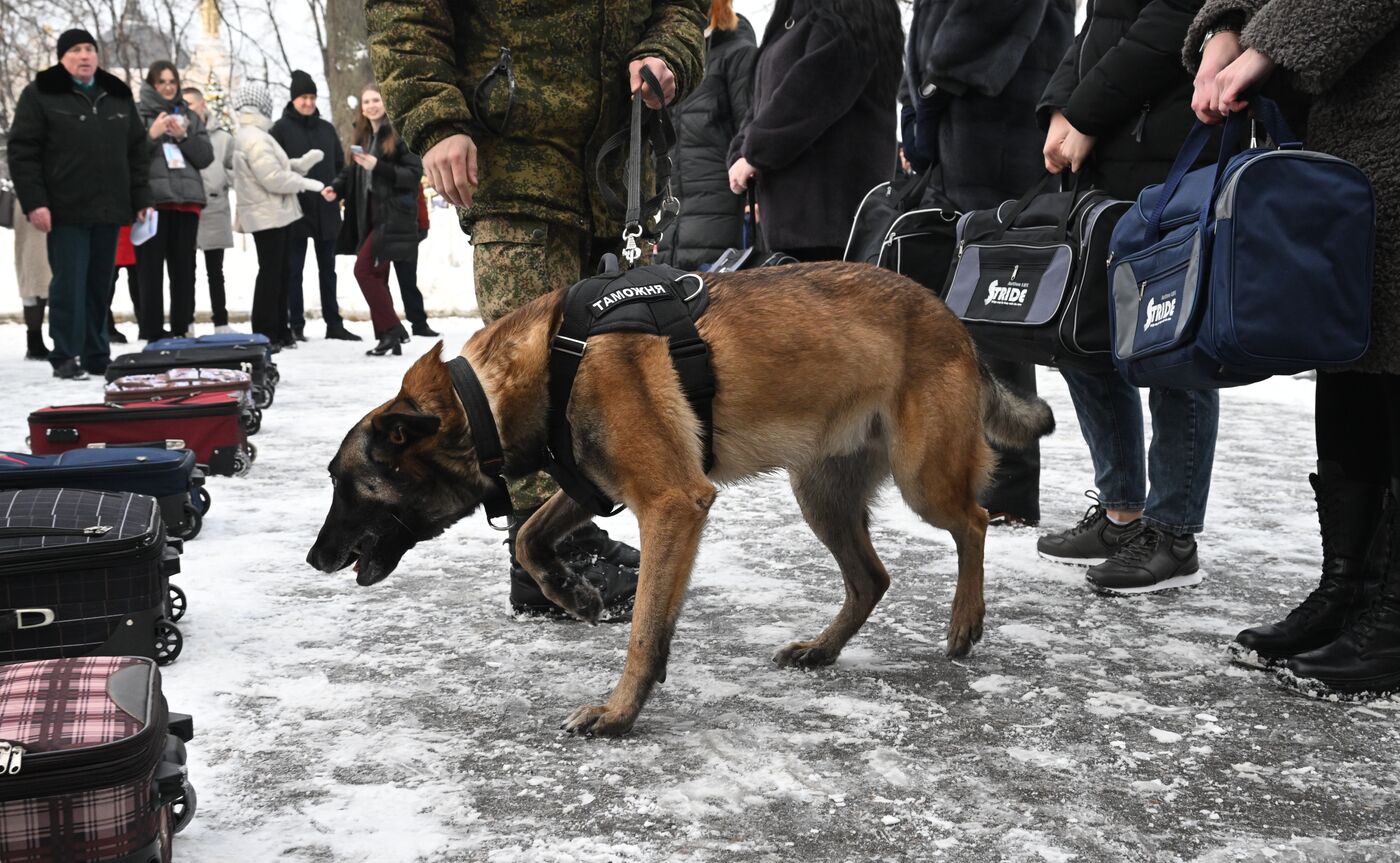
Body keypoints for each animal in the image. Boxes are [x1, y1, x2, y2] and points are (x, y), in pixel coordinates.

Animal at [306, 260, 1052, 734]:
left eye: (346, 483)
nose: (313, 560)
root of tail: (950, 317)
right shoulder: (594, 485)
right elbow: (531, 535)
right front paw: (574, 593)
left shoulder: (671, 503)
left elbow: (644, 626)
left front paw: (618, 712)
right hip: (820, 494)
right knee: (872, 577)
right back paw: (822, 648)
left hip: (924, 478)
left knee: (975, 520)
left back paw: (965, 619)